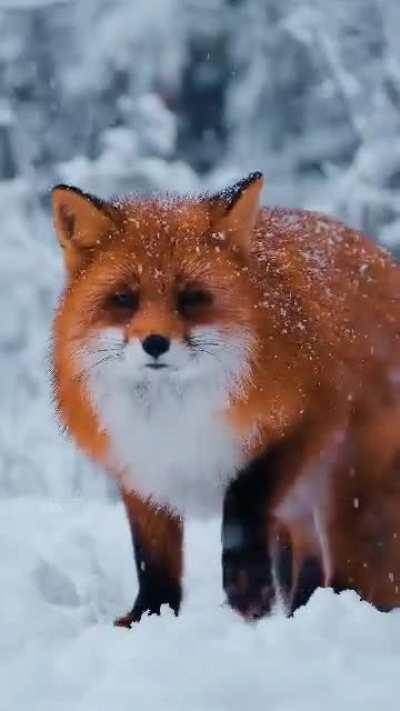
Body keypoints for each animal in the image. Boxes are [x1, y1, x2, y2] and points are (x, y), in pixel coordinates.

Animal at [51, 172, 400, 626]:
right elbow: (152, 558)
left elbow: (243, 501)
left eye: (191, 297)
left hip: (349, 496)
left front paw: (246, 588)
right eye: (124, 299)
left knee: (357, 574)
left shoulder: (309, 421)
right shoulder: (142, 468)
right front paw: (149, 616)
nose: (155, 343)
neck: (176, 417)